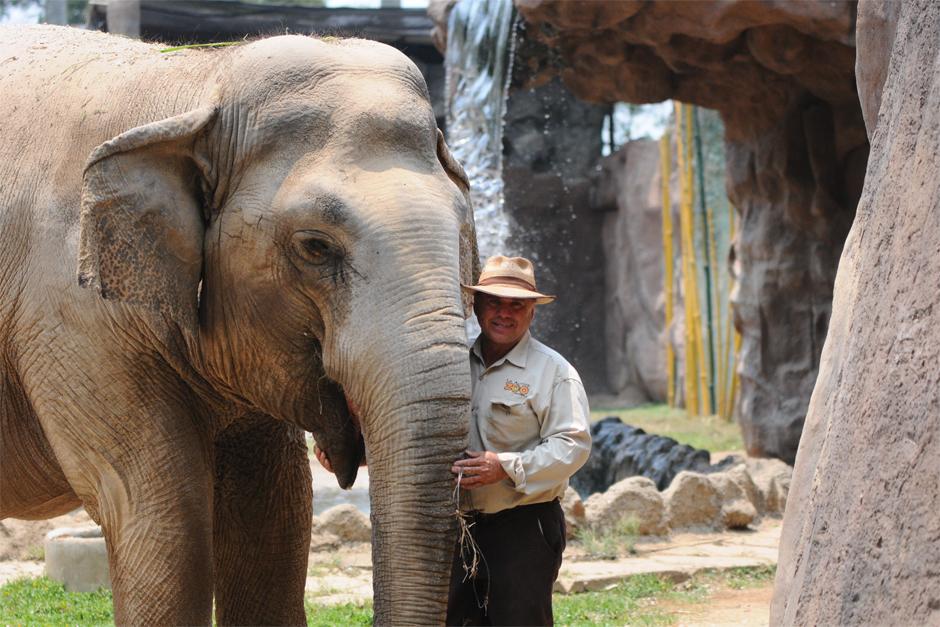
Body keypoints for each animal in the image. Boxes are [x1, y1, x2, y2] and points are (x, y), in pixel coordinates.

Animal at [0, 25, 478, 627]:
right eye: (315, 247)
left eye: (464, 232)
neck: (199, 81)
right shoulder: (69, 315)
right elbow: (161, 512)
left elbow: (275, 511)